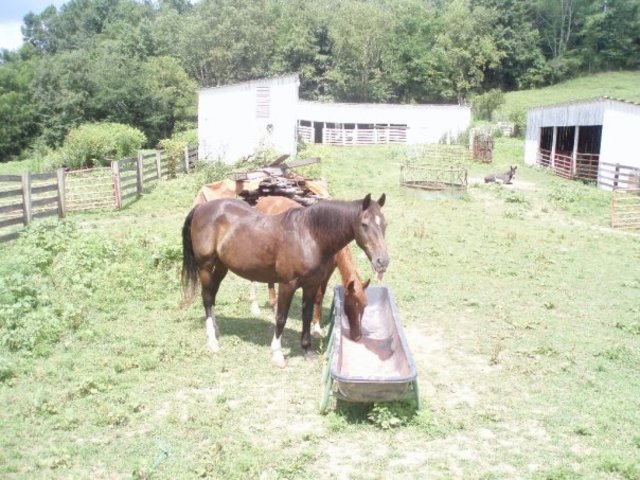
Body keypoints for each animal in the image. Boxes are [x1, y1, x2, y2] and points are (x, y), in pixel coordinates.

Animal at [249, 195, 370, 341]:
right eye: (350, 306)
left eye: (364, 306)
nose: (357, 336)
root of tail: (263, 200)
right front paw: (316, 328)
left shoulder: (327, 273)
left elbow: (320, 296)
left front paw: (316, 325)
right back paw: (255, 306)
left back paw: (274, 303)